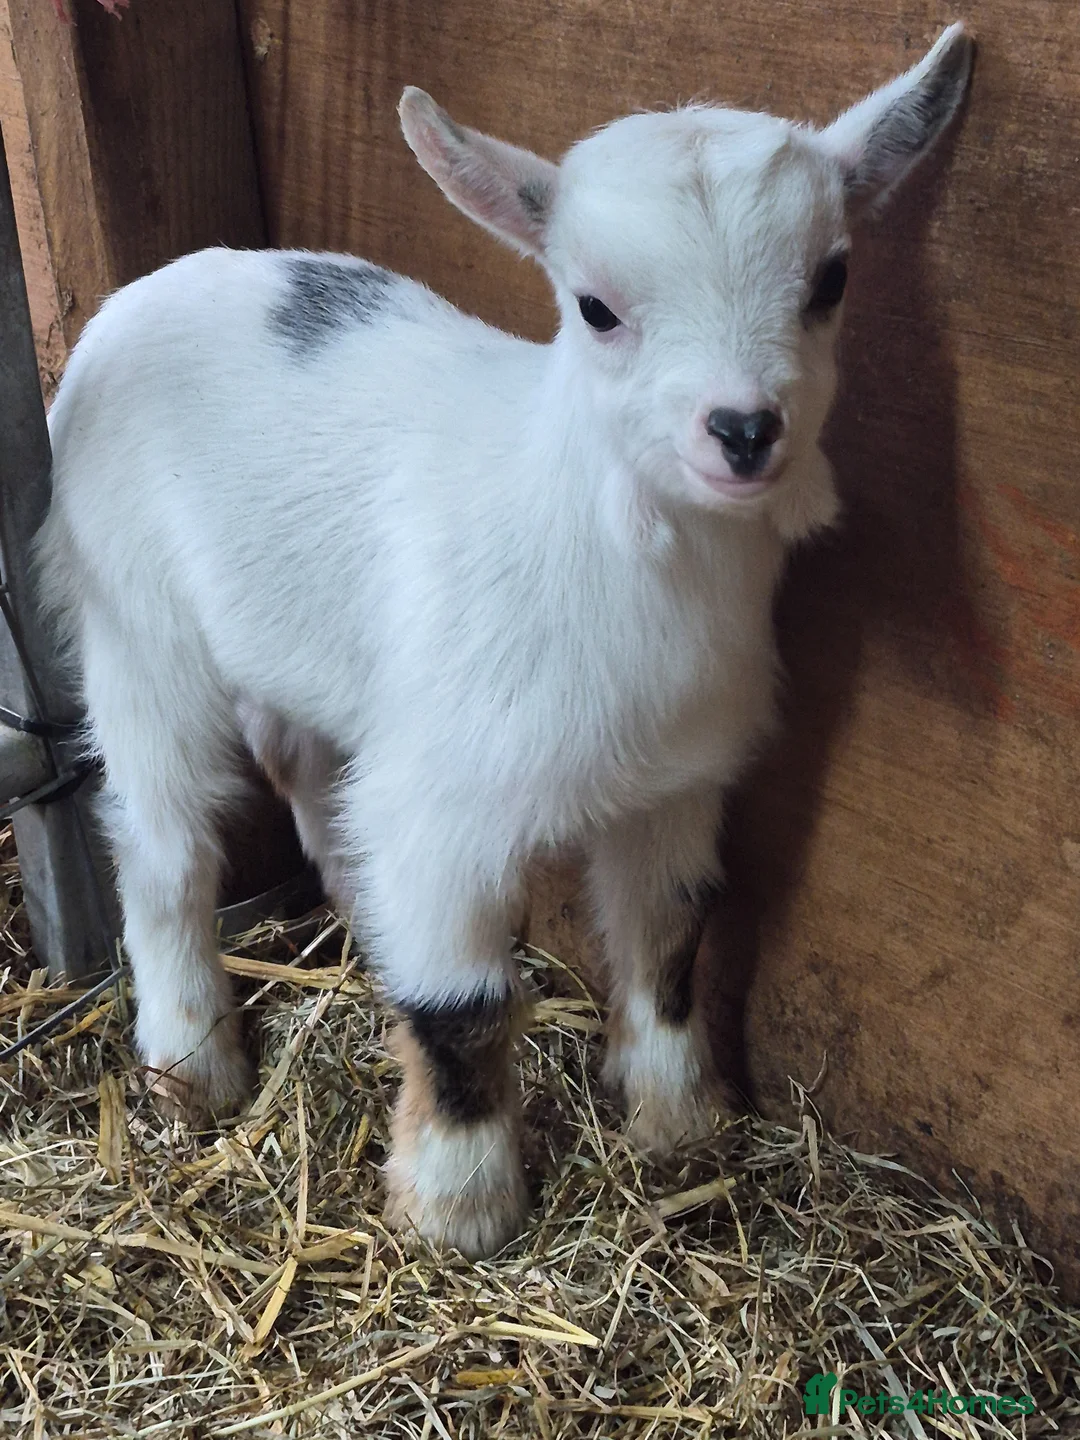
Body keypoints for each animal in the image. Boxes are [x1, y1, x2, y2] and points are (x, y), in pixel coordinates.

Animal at [37, 25, 973, 1258]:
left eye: (831, 280)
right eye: (595, 308)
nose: (743, 430)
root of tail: (143, 293)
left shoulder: (676, 783)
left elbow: (670, 942)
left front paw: (678, 1122)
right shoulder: (445, 805)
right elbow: (462, 1009)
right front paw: (459, 1207)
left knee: (305, 770)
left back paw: (350, 917)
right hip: (136, 625)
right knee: (162, 841)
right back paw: (193, 1062)